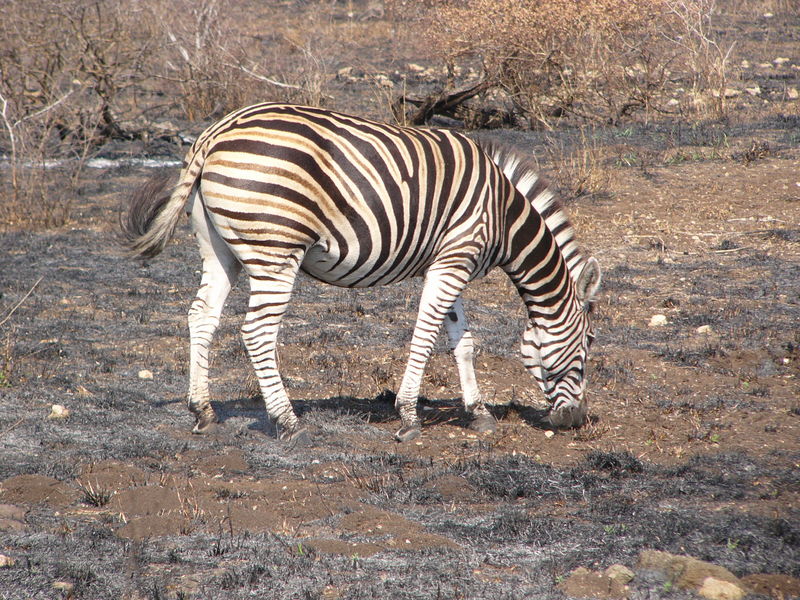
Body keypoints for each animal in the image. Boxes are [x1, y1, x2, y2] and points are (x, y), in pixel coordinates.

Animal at [122, 103, 600, 442]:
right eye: (588, 347)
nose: (576, 421)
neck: (502, 214)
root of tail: (216, 130)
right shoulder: (454, 259)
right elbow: (425, 337)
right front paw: (408, 417)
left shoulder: (450, 260)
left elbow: (462, 341)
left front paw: (478, 413)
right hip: (276, 248)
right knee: (256, 332)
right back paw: (288, 423)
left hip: (219, 248)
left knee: (201, 316)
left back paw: (203, 411)